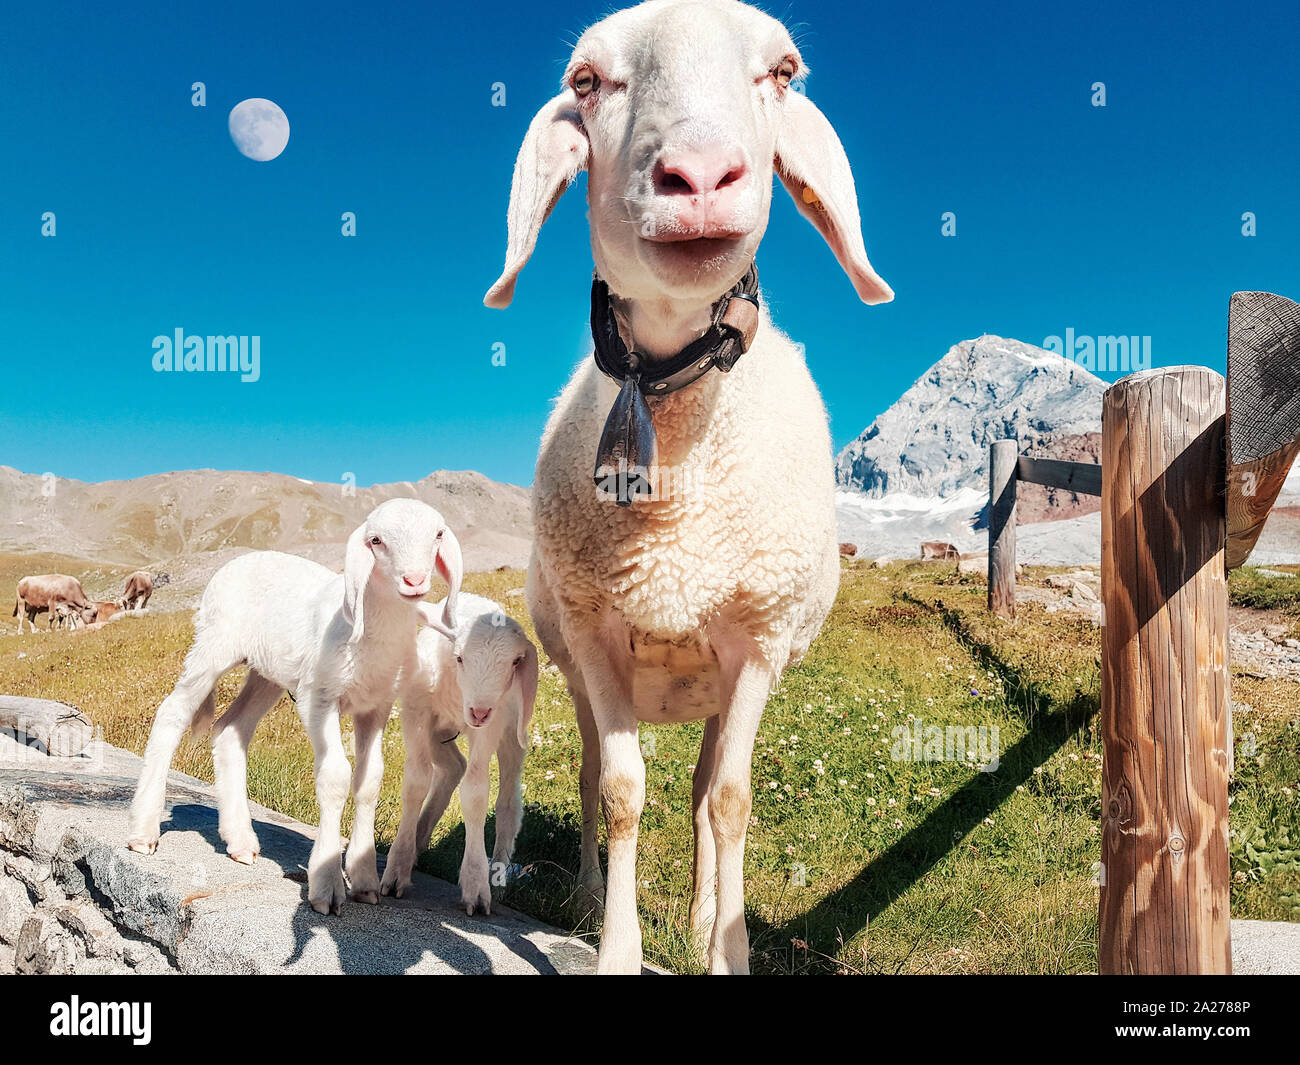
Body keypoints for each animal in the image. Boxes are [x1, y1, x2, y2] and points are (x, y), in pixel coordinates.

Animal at [126, 498, 462, 916]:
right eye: (376, 540)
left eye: (438, 534)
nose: (414, 581)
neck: (373, 629)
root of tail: (240, 559)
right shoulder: (318, 699)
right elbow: (335, 776)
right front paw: (327, 884)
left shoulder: (377, 706)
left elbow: (369, 781)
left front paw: (364, 879)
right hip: (213, 647)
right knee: (171, 714)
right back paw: (144, 831)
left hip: (266, 673)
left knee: (230, 730)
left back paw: (240, 841)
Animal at [379, 594, 539, 914]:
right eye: (460, 657)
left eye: (515, 662)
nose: (479, 711)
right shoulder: (416, 712)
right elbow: (415, 783)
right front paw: (397, 867)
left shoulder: (489, 727)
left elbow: (476, 794)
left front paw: (476, 884)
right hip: (438, 730)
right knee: (453, 766)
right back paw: (418, 839)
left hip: (511, 731)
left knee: (507, 804)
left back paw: (498, 874)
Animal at [485, 0, 892, 973]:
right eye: (587, 80)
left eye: (782, 72)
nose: (701, 174)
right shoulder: (596, 631)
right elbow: (621, 790)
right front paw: (616, 944)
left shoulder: (757, 635)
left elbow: (731, 801)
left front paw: (724, 945)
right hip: (582, 666)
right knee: (591, 774)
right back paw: (587, 894)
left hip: (721, 673)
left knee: (710, 785)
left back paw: (709, 911)